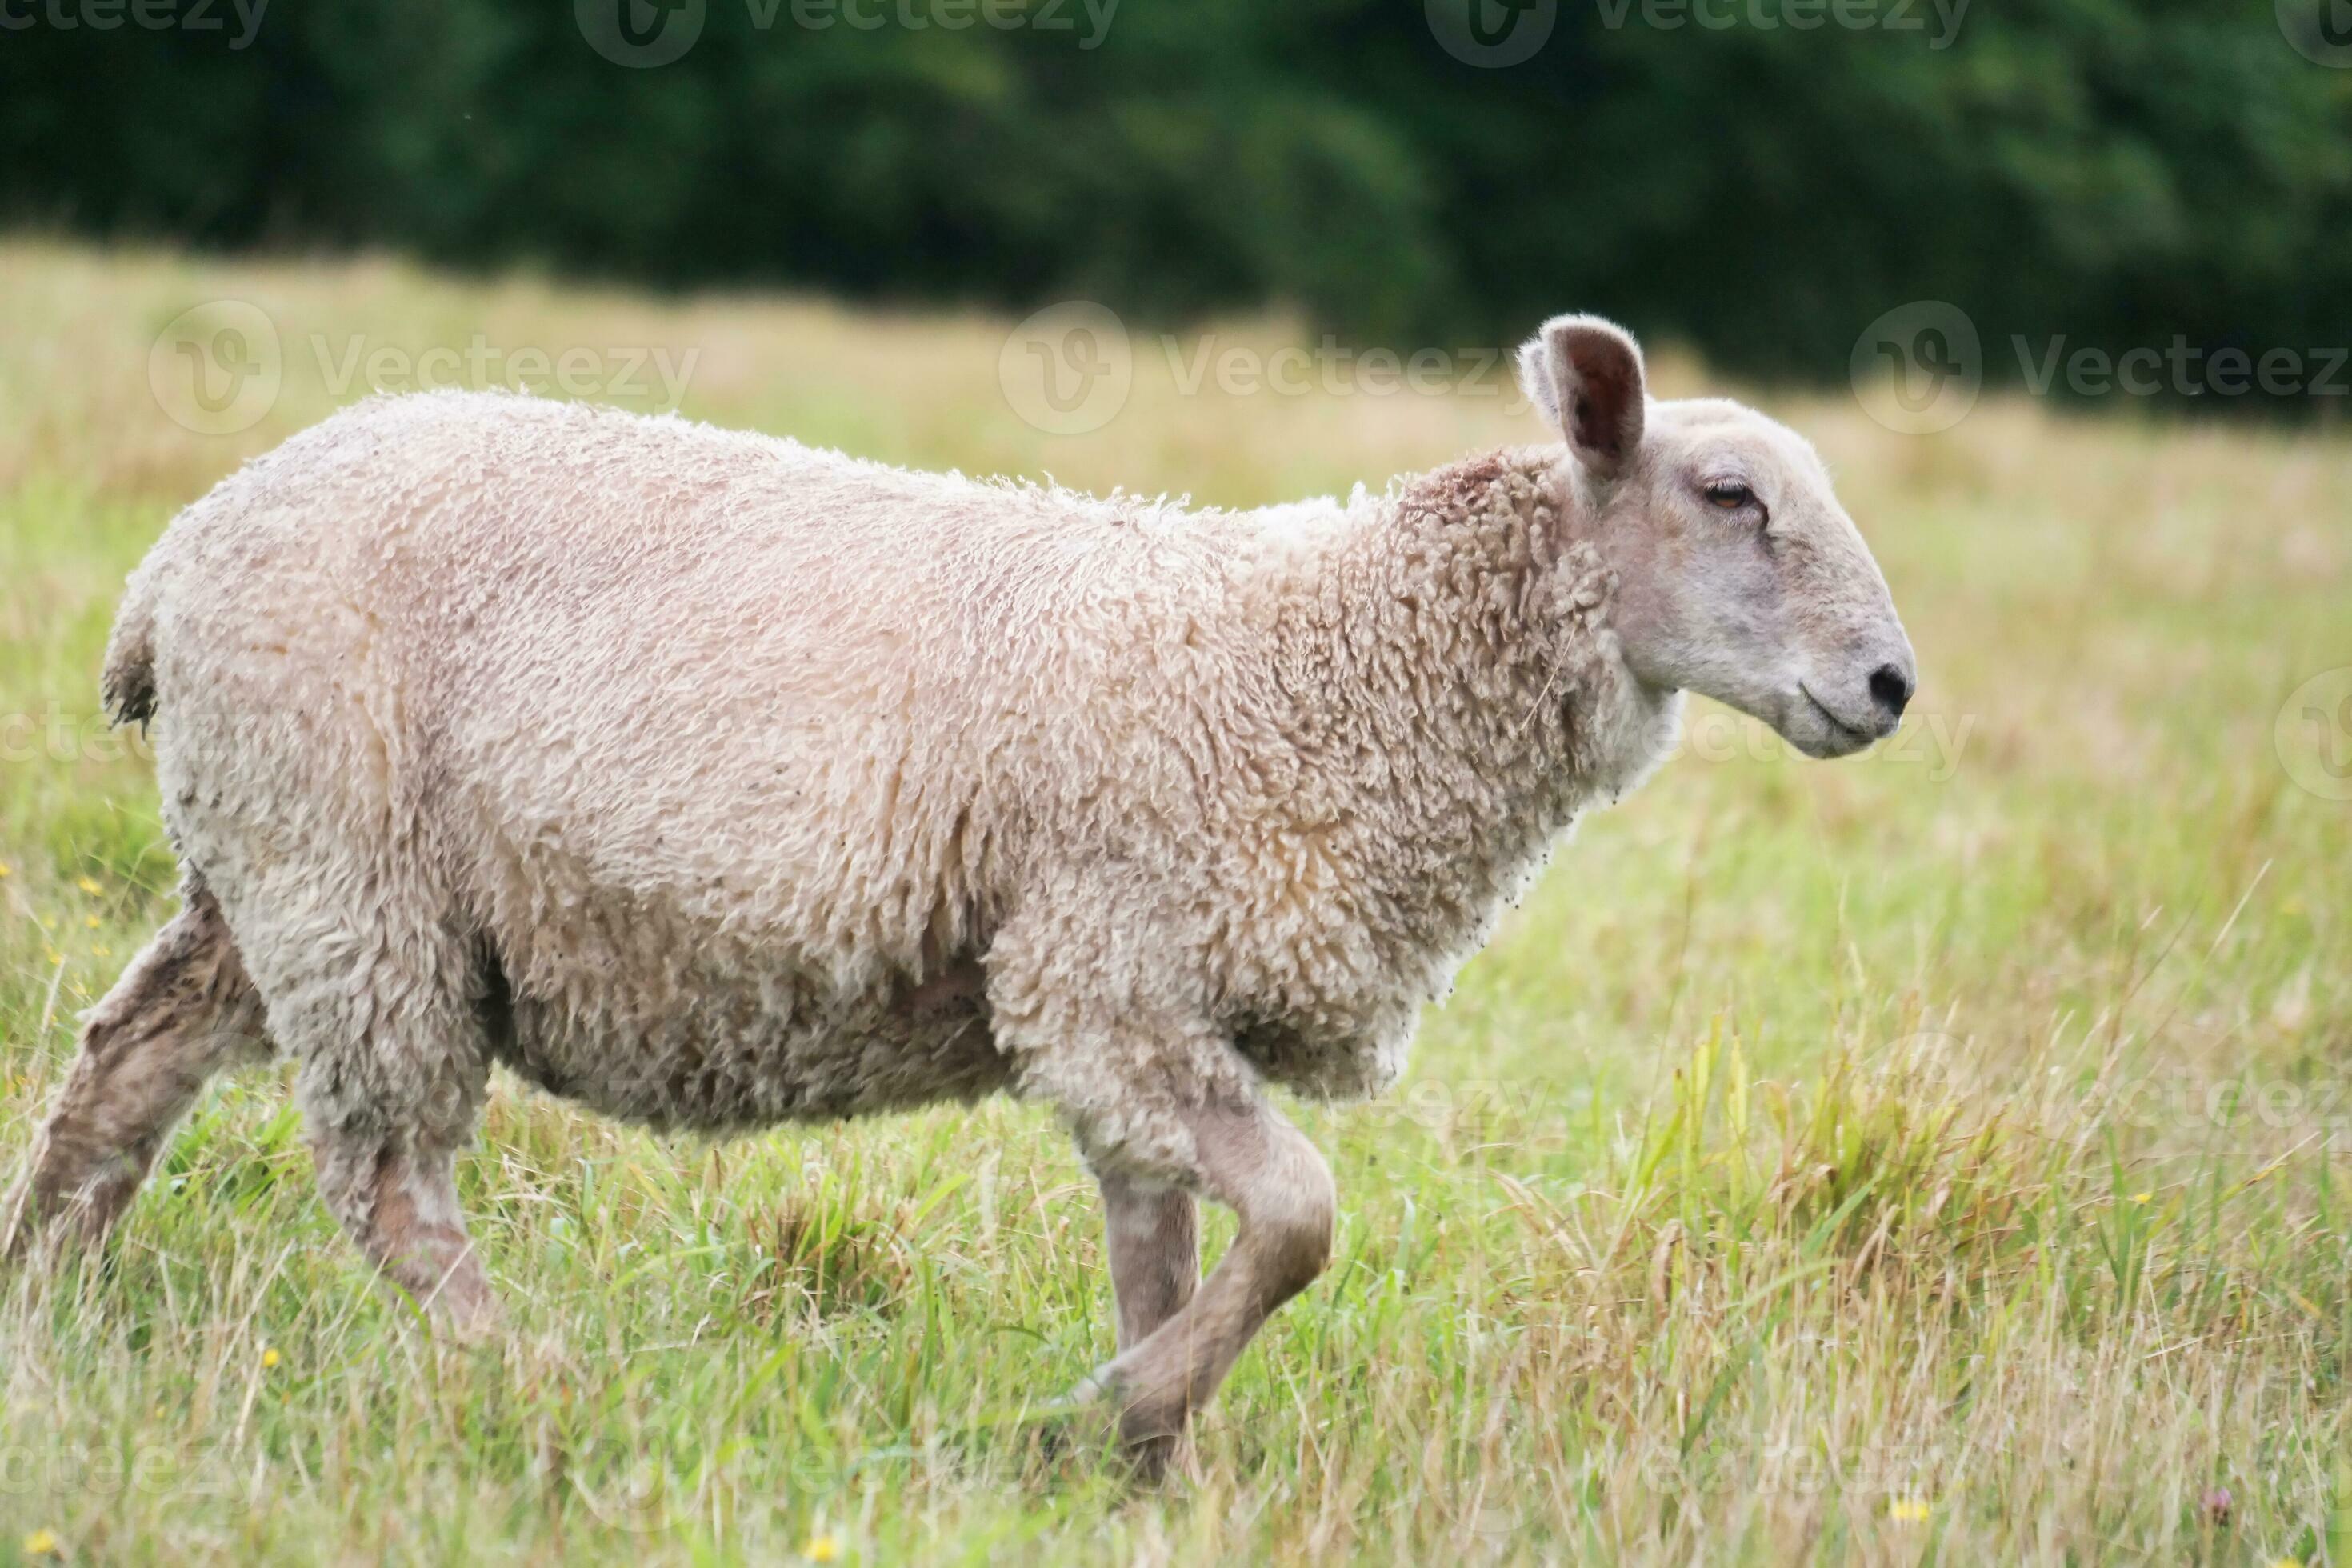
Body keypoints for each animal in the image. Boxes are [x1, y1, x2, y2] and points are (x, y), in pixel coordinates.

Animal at [4, 314, 1913, 1470]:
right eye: (1730, 495)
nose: (1892, 685)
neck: (1322, 660)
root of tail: (179, 558)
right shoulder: (1104, 972)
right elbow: (1305, 1217)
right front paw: (1104, 1419)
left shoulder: (1146, 1013)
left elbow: (1171, 1247)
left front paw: (1149, 1465)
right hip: (357, 880)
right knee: (391, 1185)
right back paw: (532, 1386)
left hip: (271, 872)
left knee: (121, 1068)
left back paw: (47, 1313)